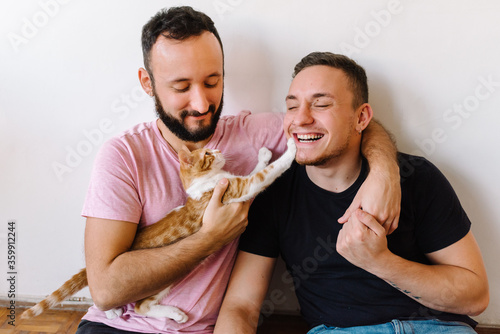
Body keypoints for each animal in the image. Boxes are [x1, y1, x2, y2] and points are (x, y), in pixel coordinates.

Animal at [21, 139, 296, 324]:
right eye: (207, 153)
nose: (218, 150)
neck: (207, 181)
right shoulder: (239, 188)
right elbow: (266, 172)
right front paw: (292, 149)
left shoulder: (236, 183)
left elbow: (256, 167)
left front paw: (264, 154)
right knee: (132, 303)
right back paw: (117, 311)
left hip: (163, 280)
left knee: (142, 305)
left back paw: (171, 313)